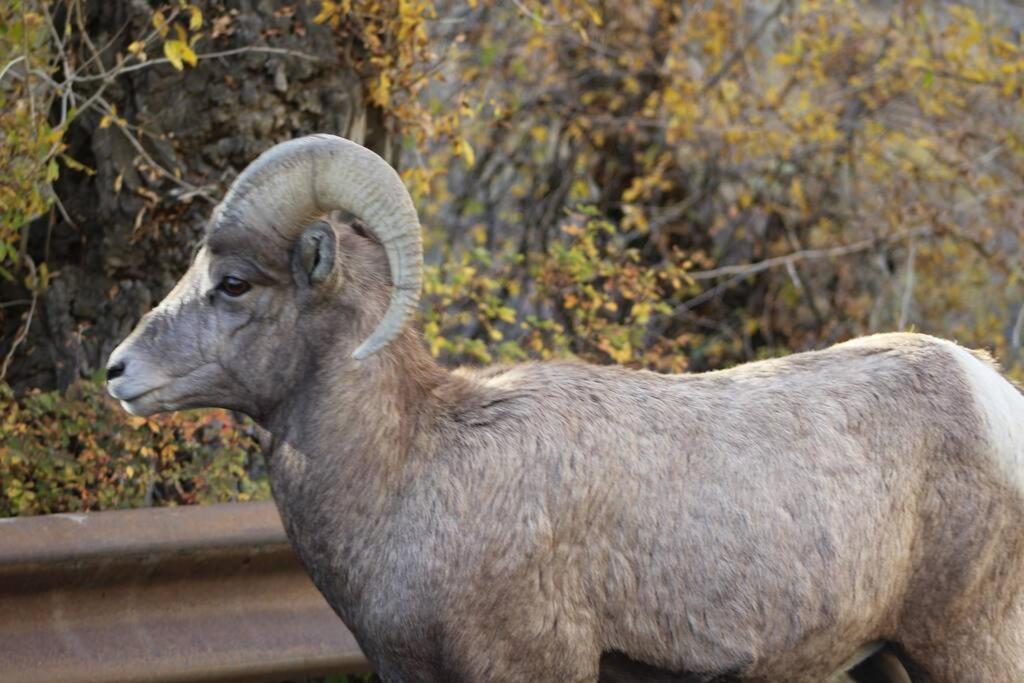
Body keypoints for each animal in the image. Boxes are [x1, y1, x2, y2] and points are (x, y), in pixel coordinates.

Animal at [105, 135, 1024, 683]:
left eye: (233, 283)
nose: (118, 372)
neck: (411, 469)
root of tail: (990, 393)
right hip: (885, 659)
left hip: (966, 647)